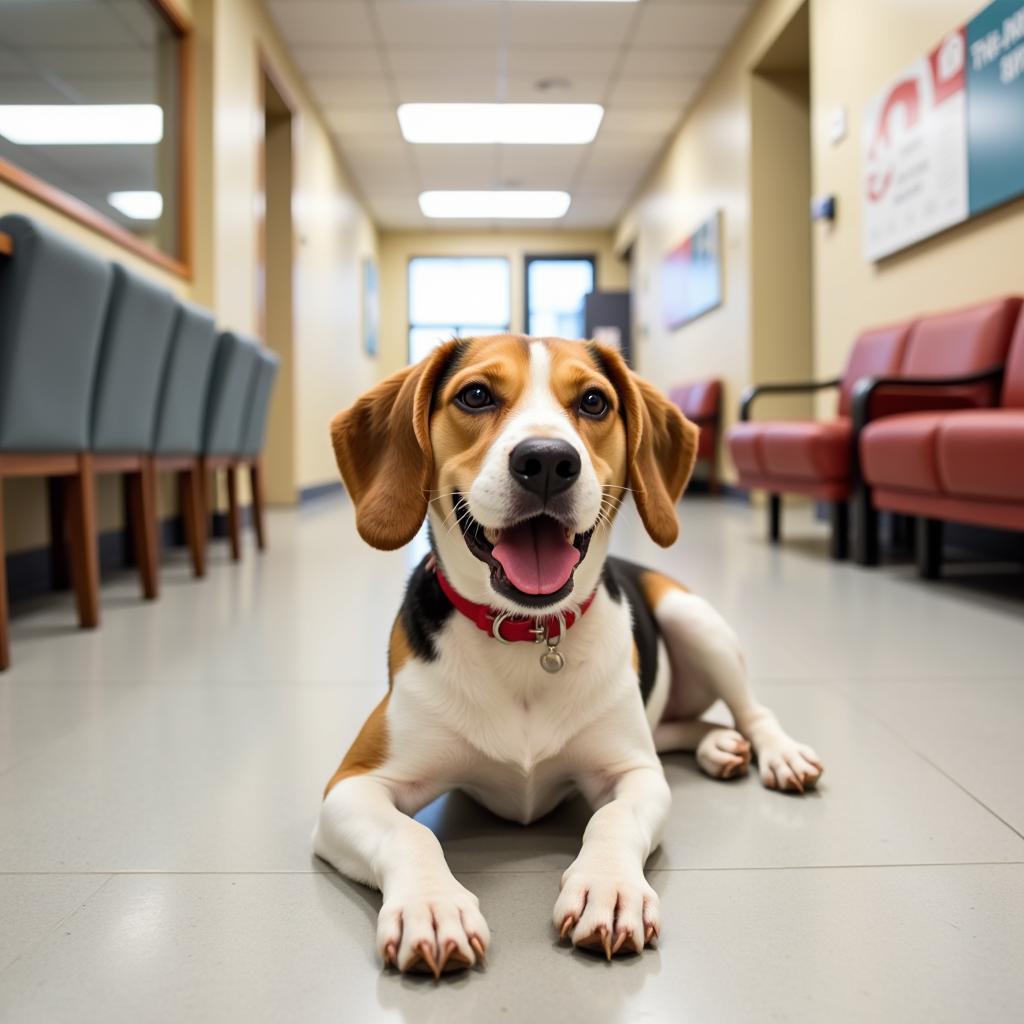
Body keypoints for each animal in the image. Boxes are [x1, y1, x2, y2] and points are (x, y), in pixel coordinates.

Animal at [313, 333, 823, 974]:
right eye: (475, 395)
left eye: (594, 401)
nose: (549, 461)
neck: (528, 636)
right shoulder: (352, 785)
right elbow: (411, 832)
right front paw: (431, 906)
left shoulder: (636, 775)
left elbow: (612, 817)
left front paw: (609, 889)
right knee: (679, 726)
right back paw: (717, 745)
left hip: (694, 620)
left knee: (753, 711)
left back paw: (777, 753)